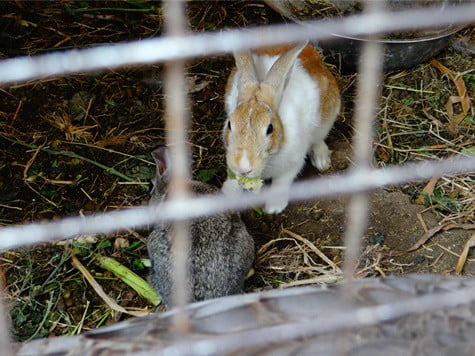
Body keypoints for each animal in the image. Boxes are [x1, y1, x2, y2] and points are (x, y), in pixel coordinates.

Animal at [221, 42, 340, 214]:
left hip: (327, 119)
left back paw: (321, 161)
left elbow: (281, 182)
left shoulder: (293, 163)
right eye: (230, 124)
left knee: (318, 139)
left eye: (269, 128)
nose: (243, 166)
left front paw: (274, 208)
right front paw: (228, 194)